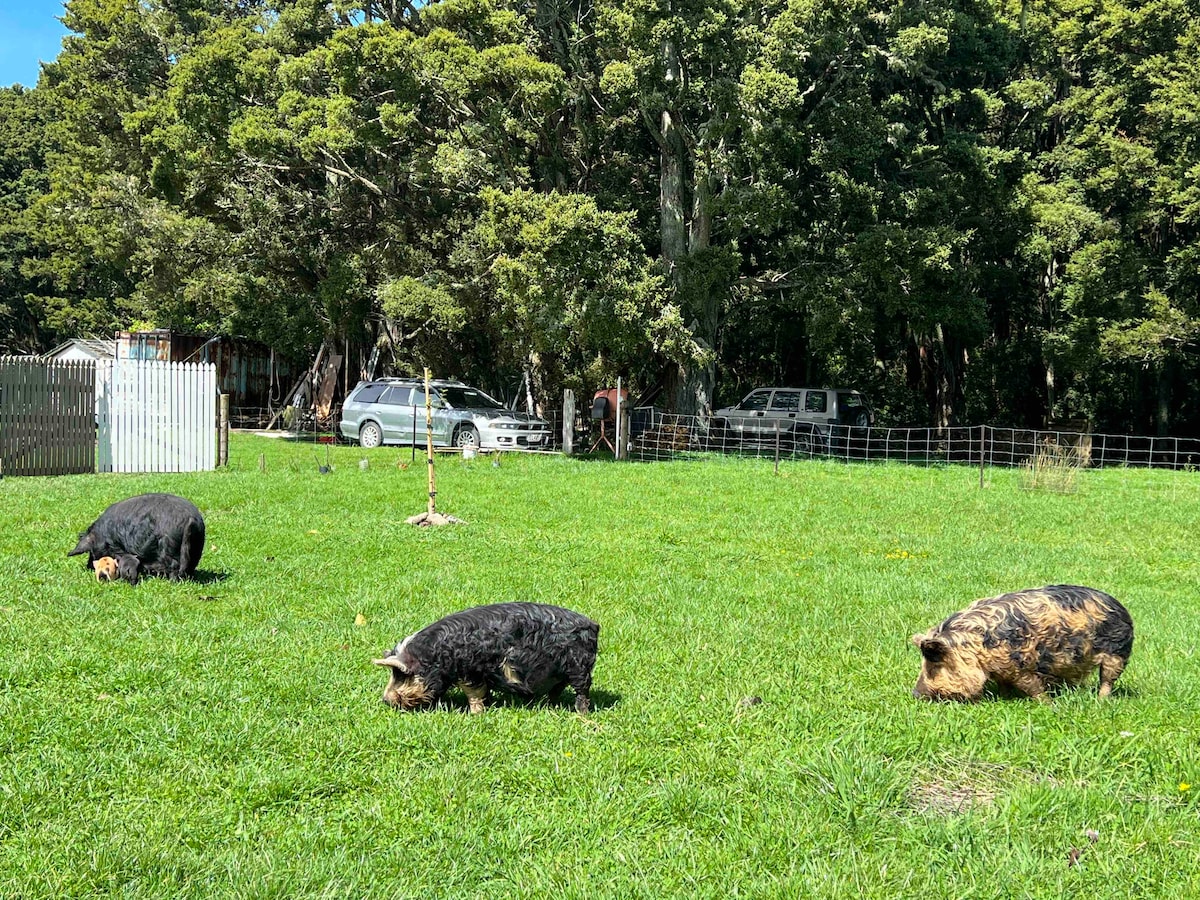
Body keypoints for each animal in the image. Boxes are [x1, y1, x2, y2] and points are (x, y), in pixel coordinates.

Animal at [68, 494, 206, 585]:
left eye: (91, 551)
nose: (89, 566)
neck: (101, 535)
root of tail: (190, 519)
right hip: (196, 547)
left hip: (169, 548)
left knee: (174, 567)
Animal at [372, 602, 600, 715]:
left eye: (402, 674)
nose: (385, 699)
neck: (436, 656)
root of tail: (593, 625)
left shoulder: (471, 672)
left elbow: (474, 694)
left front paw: (476, 714)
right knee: (557, 690)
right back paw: (551, 706)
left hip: (579, 667)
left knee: (582, 692)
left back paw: (581, 715)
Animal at [907, 585, 1132, 705]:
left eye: (934, 663)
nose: (915, 694)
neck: (978, 648)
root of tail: (1119, 606)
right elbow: (1003, 684)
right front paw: (1002, 697)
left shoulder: (1021, 665)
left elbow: (1031, 686)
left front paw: (1047, 705)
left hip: (1118, 654)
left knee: (1107, 680)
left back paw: (1101, 701)